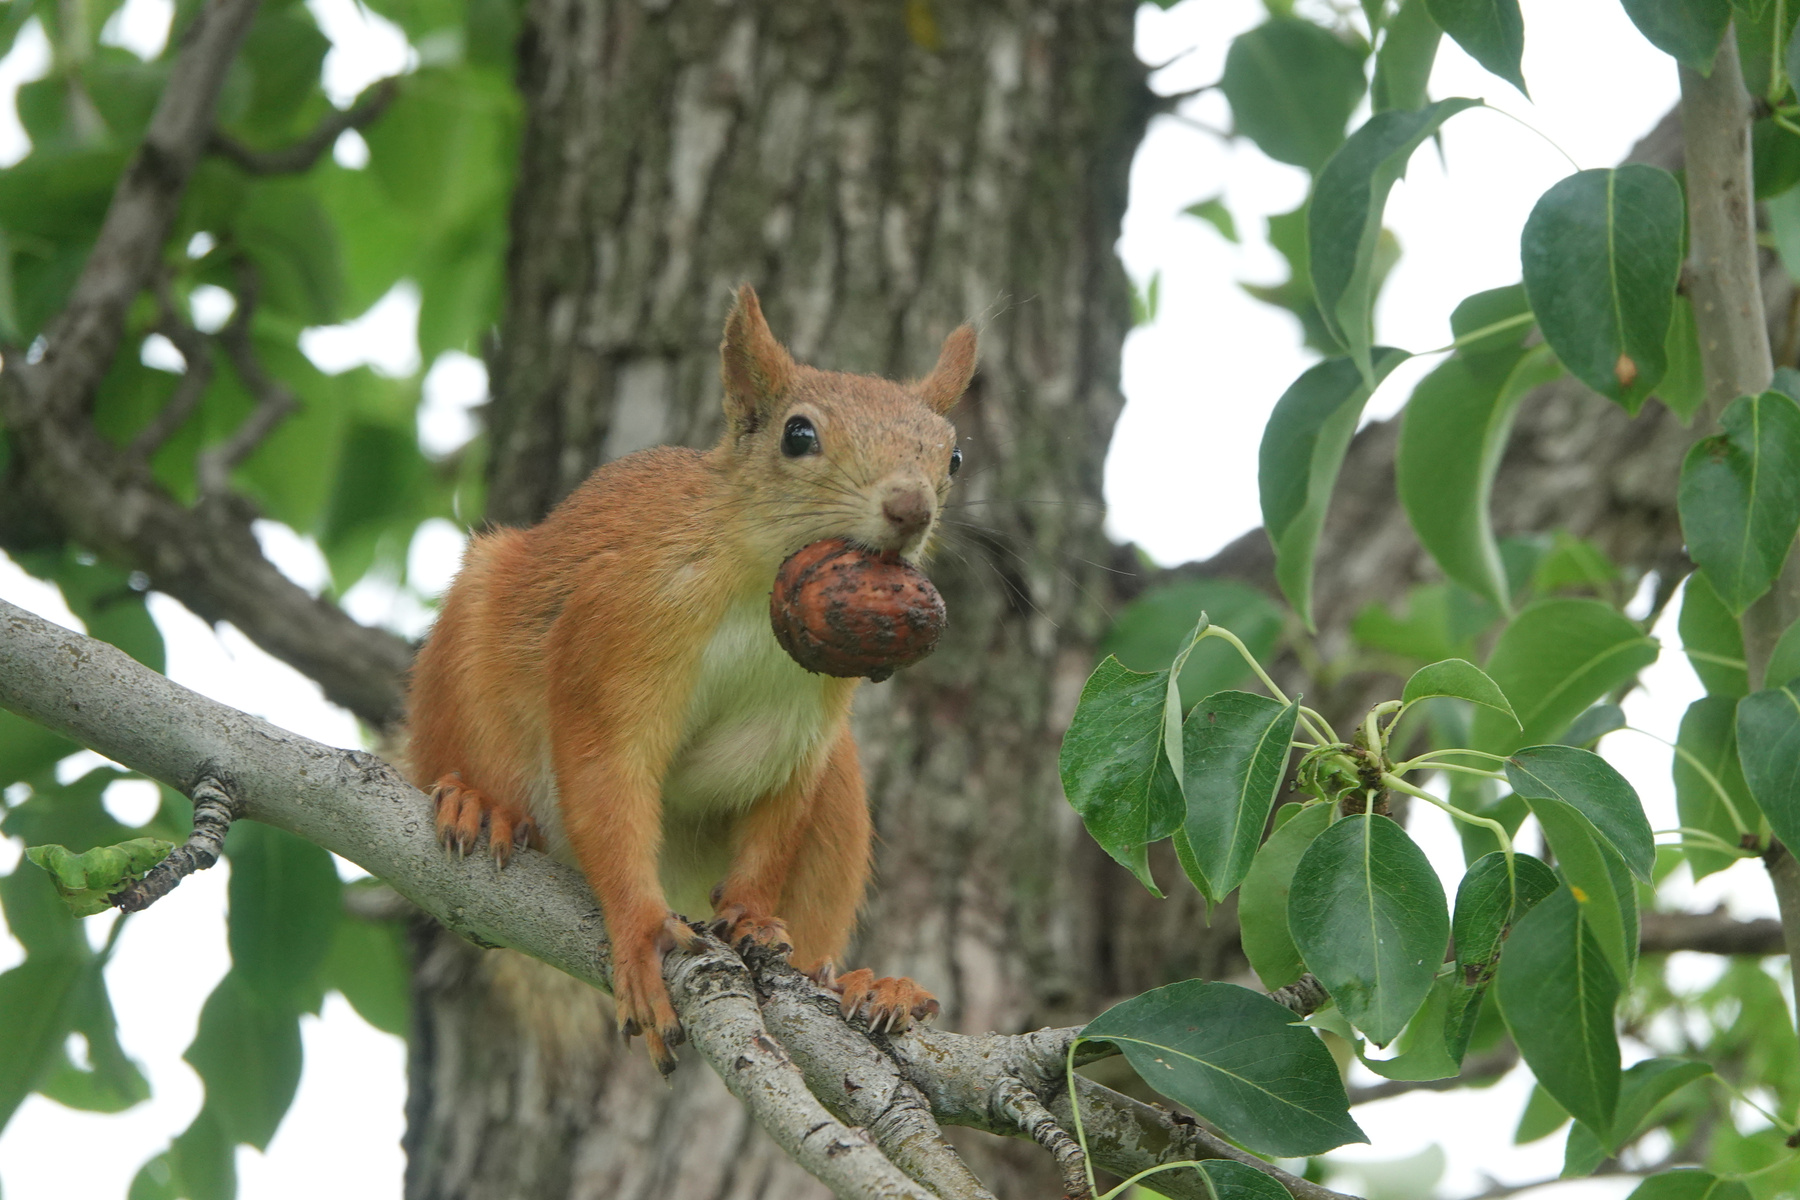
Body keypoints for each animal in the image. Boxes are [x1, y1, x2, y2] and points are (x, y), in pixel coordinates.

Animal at [404, 285, 976, 1072]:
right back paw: (476, 803)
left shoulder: (804, 719)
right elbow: (607, 771)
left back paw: (866, 984)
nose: (910, 508)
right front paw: (641, 933)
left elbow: (775, 811)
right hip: (464, 662)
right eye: (798, 435)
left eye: (954, 455)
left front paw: (752, 915)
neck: (757, 585)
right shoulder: (620, 628)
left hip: (840, 794)